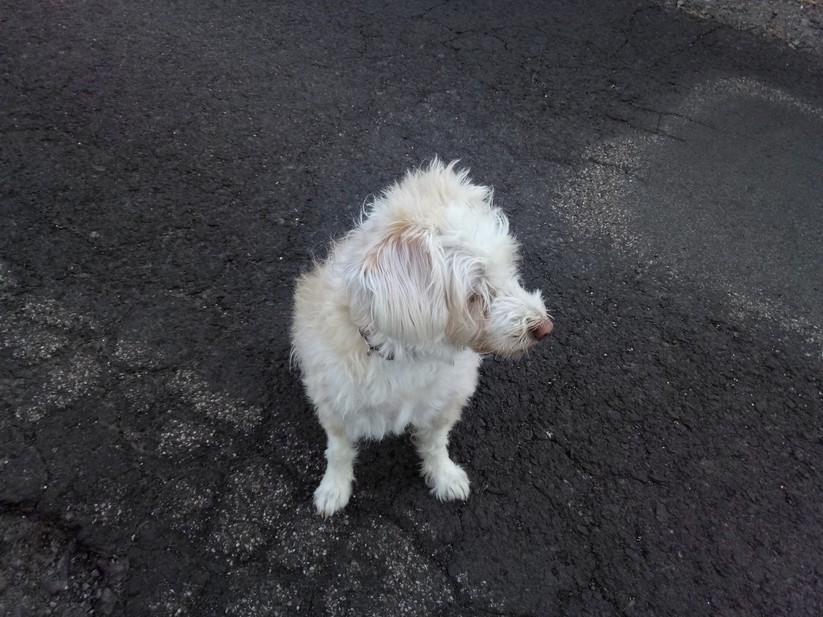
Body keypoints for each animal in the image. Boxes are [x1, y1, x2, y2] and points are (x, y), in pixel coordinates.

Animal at [291, 159, 553, 517]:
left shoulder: (445, 403)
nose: (544, 327)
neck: (404, 353)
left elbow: (435, 443)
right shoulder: (335, 407)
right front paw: (334, 489)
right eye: (475, 293)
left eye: (509, 266)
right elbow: (339, 451)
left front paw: (444, 476)